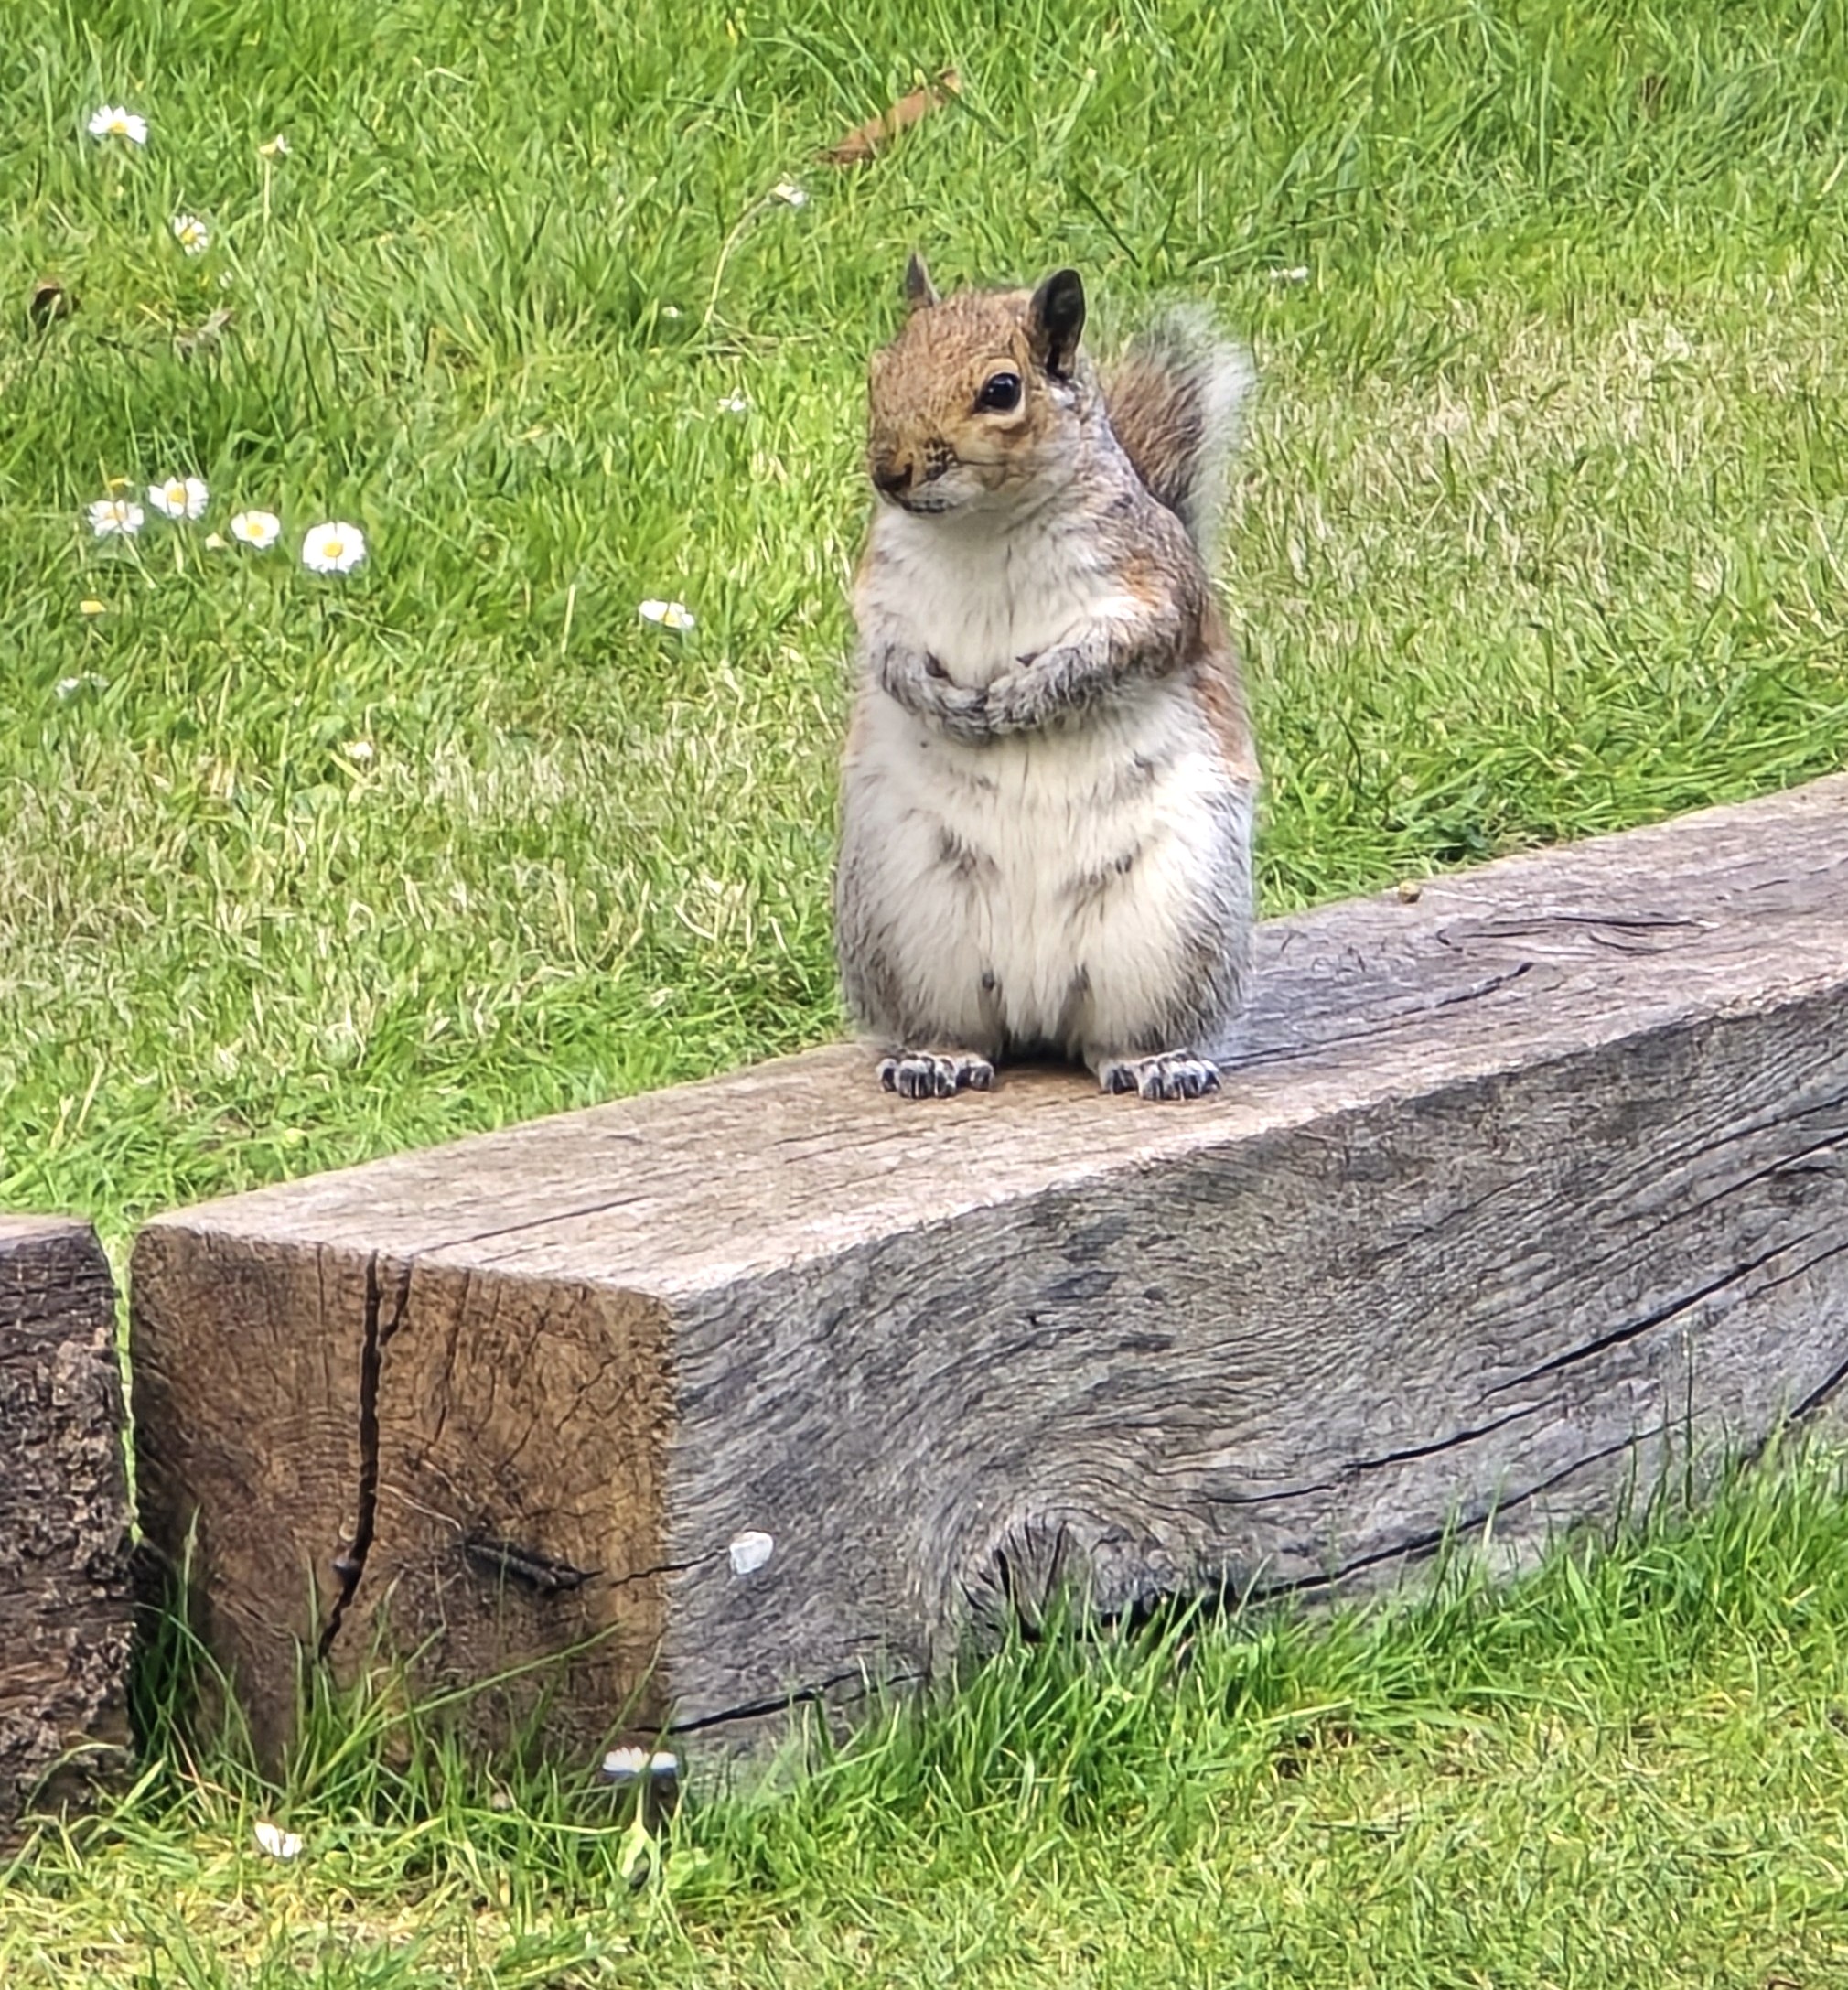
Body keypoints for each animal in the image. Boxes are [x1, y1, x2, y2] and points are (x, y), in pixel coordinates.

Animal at [834, 255, 1259, 1102]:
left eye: (1002, 390)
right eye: (879, 369)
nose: (890, 472)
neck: (983, 527)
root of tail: (1035, 1009)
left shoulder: (1151, 586)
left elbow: (1109, 654)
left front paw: (1022, 699)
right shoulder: (881, 591)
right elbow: (887, 656)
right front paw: (943, 702)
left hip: (1175, 923)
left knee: (1113, 1036)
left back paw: (1155, 1061)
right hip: (905, 922)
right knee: (965, 1027)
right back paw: (935, 1056)